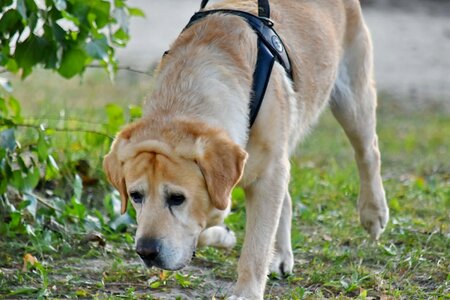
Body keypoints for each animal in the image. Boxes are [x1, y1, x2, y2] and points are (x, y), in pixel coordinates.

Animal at [102, 0, 386, 298]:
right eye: (136, 196)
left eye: (177, 198)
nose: (145, 251)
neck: (185, 92)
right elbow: (213, 220)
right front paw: (223, 235)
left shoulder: (268, 175)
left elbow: (255, 246)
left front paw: (247, 291)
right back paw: (280, 254)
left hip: (352, 97)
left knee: (368, 153)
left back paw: (373, 212)